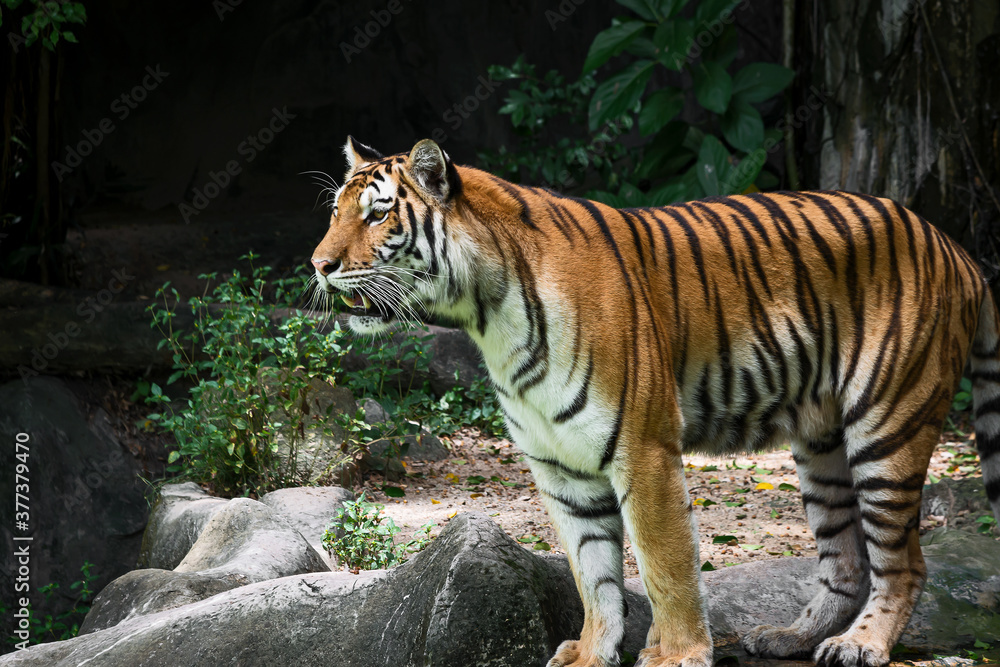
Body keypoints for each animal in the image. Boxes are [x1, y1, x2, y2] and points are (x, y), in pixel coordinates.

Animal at [308, 137, 1000, 667]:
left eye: (376, 216)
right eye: (335, 212)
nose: (318, 264)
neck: (487, 315)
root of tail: (955, 247)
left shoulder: (643, 450)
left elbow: (665, 565)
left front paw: (677, 655)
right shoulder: (559, 466)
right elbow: (593, 573)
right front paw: (592, 652)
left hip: (886, 428)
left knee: (904, 562)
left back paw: (860, 646)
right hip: (822, 448)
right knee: (846, 559)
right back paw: (792, 637)